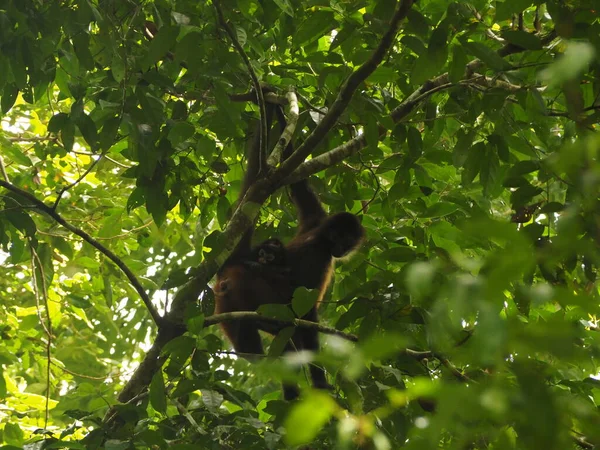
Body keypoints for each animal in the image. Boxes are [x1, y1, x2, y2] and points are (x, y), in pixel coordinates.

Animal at [216, 88, 366, 400]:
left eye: (348, 241)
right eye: (338, 238)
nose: (341, 249)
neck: (318, 238)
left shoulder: (315, 220)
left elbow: (298, 185)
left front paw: (279, 113)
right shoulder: (318, 238)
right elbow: (304, 306)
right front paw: (320, 382)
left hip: (227, 305)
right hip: (253, 289)